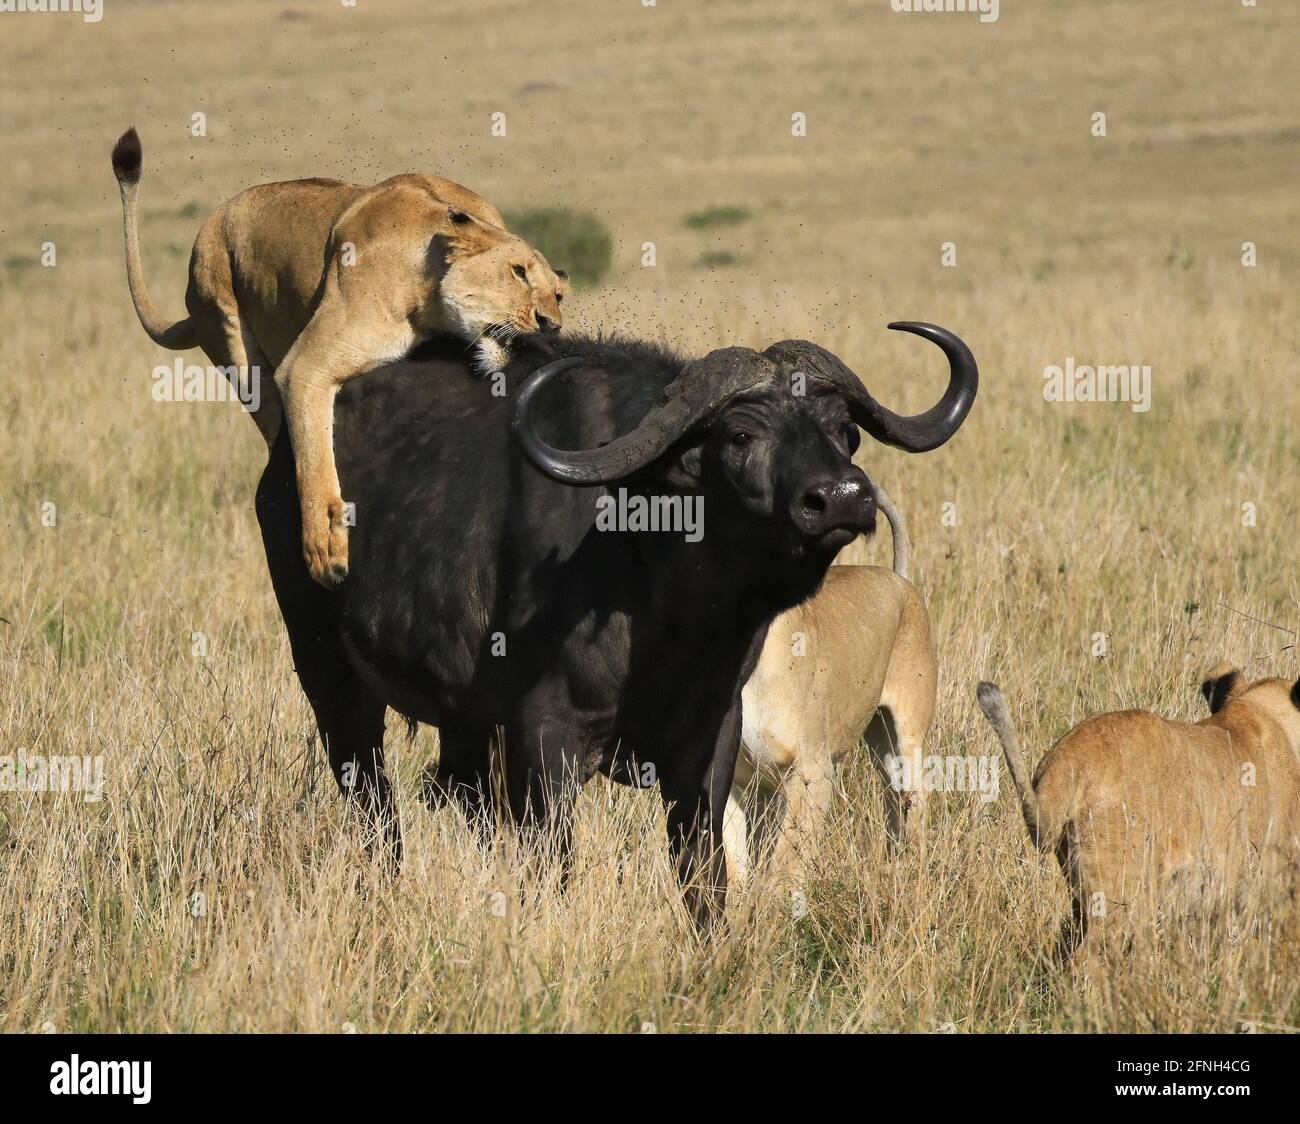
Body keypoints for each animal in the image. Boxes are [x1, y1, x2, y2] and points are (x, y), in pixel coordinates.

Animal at [256, 319, 977, 925]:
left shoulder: (711, 739)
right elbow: (553, 868)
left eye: (844, 429)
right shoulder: (545, 740)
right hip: (329, 677)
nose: (843, 497)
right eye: (741, 435)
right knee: (372, 800)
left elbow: (705, 872)